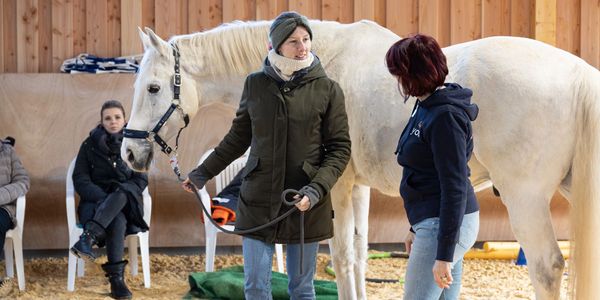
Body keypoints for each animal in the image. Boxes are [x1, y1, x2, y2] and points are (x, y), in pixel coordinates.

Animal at [122, 19, 600, 298]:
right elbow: (359, 254)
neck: (317, 67)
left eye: (152, 87)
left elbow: (342, 257)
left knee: (547, 268)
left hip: (525, 198)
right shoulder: (360, 188)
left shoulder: (336, 185)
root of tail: (579, 75)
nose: (129, 151)